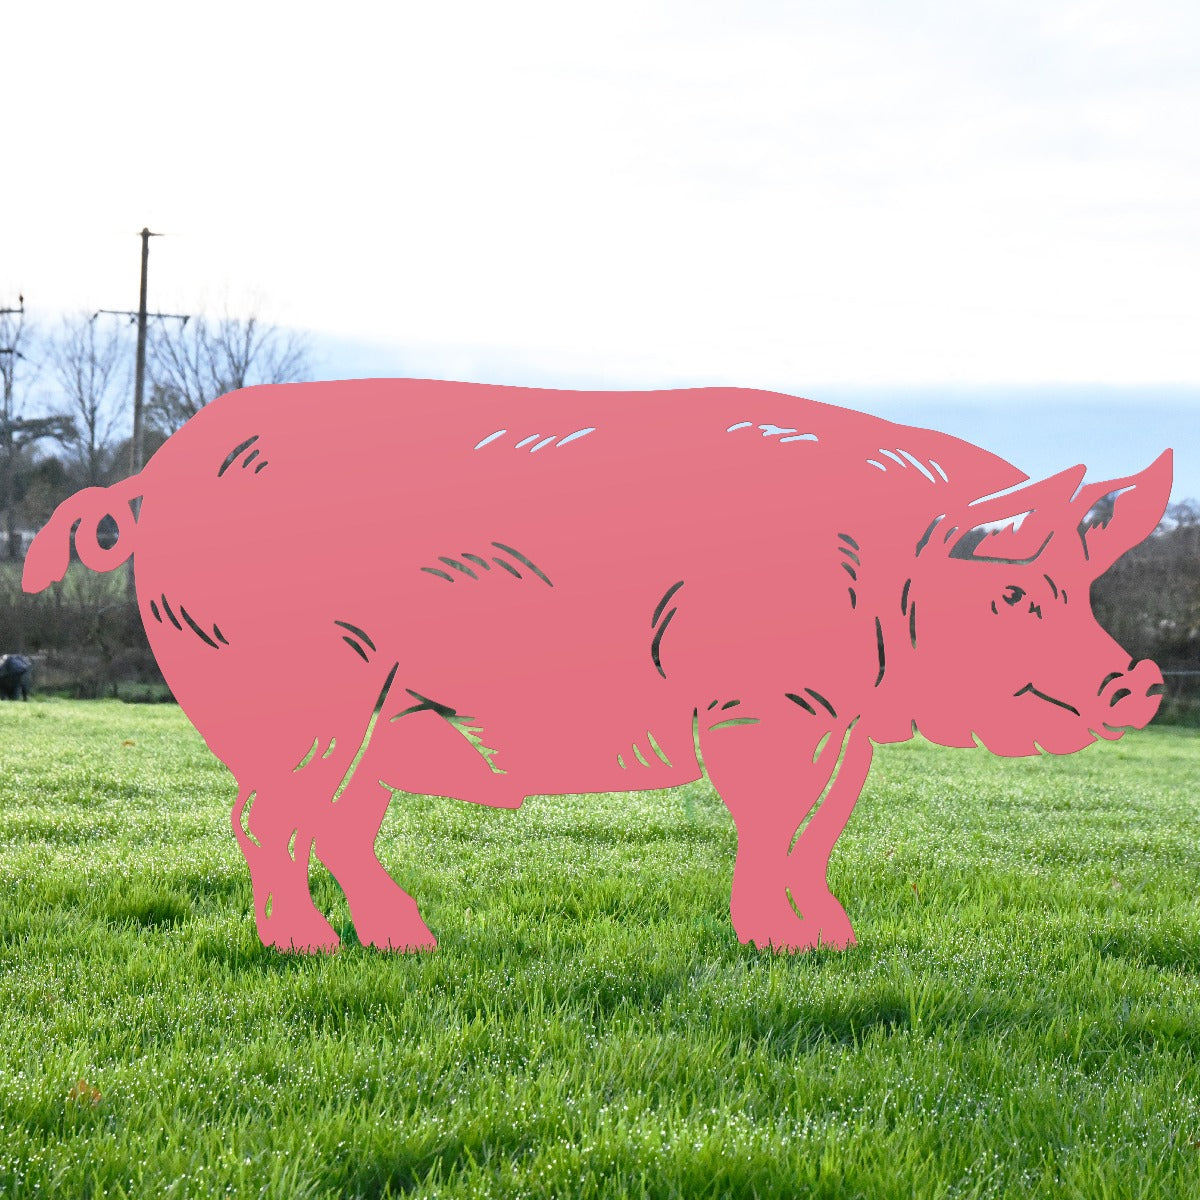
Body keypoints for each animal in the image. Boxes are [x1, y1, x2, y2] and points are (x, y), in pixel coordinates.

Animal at [22, 380, 1172, 954]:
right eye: (1017, 595)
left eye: (1081, 589)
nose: (1141, 682)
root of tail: (155, 479)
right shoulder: (758, 700)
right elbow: (768, 825)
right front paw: (781, 948)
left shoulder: (839, 721)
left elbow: (817, 831)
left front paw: (835, 945)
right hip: (304, 691)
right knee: (268, 818)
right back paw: (308, 952)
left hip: (390, 711)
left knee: (335, 825)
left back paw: (407, 948)